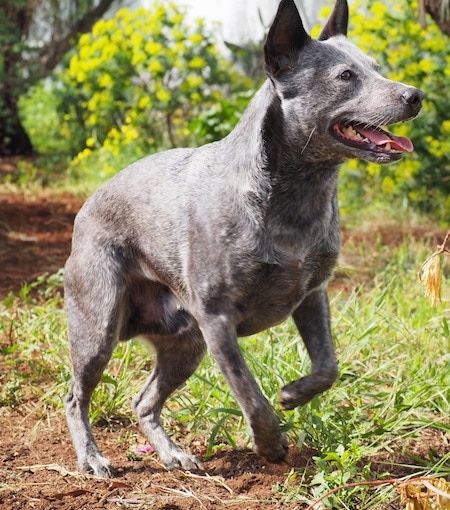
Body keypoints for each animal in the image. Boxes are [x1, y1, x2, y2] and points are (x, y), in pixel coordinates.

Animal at [62, 0, 422, 478]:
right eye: (346, 75)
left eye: (377, 67)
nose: (415, 95)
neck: (295, 195)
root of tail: (85, 209)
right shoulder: (218, 321)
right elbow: (248, 390)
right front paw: (270, 442)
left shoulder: (312, 296)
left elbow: (328, 366)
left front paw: (294, 393)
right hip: (99, 328)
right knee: (75, 396)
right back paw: (92, 458)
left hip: (185, 344)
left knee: (143, 401)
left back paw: (172, 454)